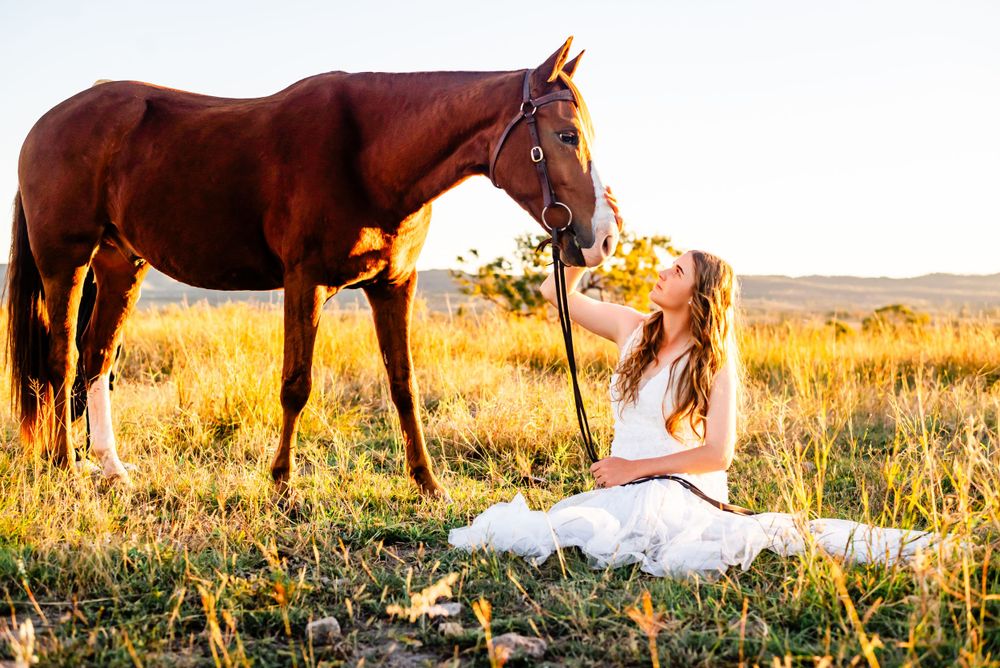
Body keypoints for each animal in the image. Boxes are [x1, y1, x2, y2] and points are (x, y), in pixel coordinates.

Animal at [5, 36, 620, 500]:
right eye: (566, 135)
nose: (604, 238)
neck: (368, 153)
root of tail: (46, 123)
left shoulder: (393, 286)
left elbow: (404, 385)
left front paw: (427, 483)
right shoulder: (304, 282)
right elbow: (295, 385)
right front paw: (281, 482)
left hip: (120, 264)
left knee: (96, 359)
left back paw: (110, 467)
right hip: (67, 261)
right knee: (60, 361)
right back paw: (64, 466)